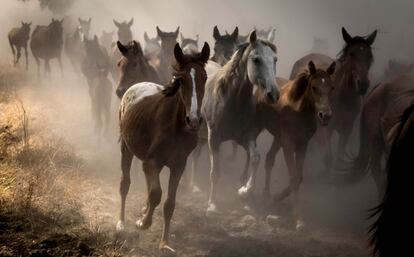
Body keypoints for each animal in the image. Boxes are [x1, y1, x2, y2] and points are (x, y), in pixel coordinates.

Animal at [116, 42, 212, 252]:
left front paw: (165, 243)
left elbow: (169, 203)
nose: (194, 120)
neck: (175, 127)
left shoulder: (178, 165)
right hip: (126, 148)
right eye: (181, 79)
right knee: (125, 184)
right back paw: (121, 223)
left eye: (205, 77)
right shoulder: (152, 161)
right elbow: (156, 194)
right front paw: (143, 223)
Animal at [290, 26, 376, 170]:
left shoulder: (347, 130)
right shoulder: (327, 129)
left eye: (370, 55)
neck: (343, 97)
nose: (363, 84)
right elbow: (328, 159)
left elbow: (339, 158)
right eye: (351, 54)